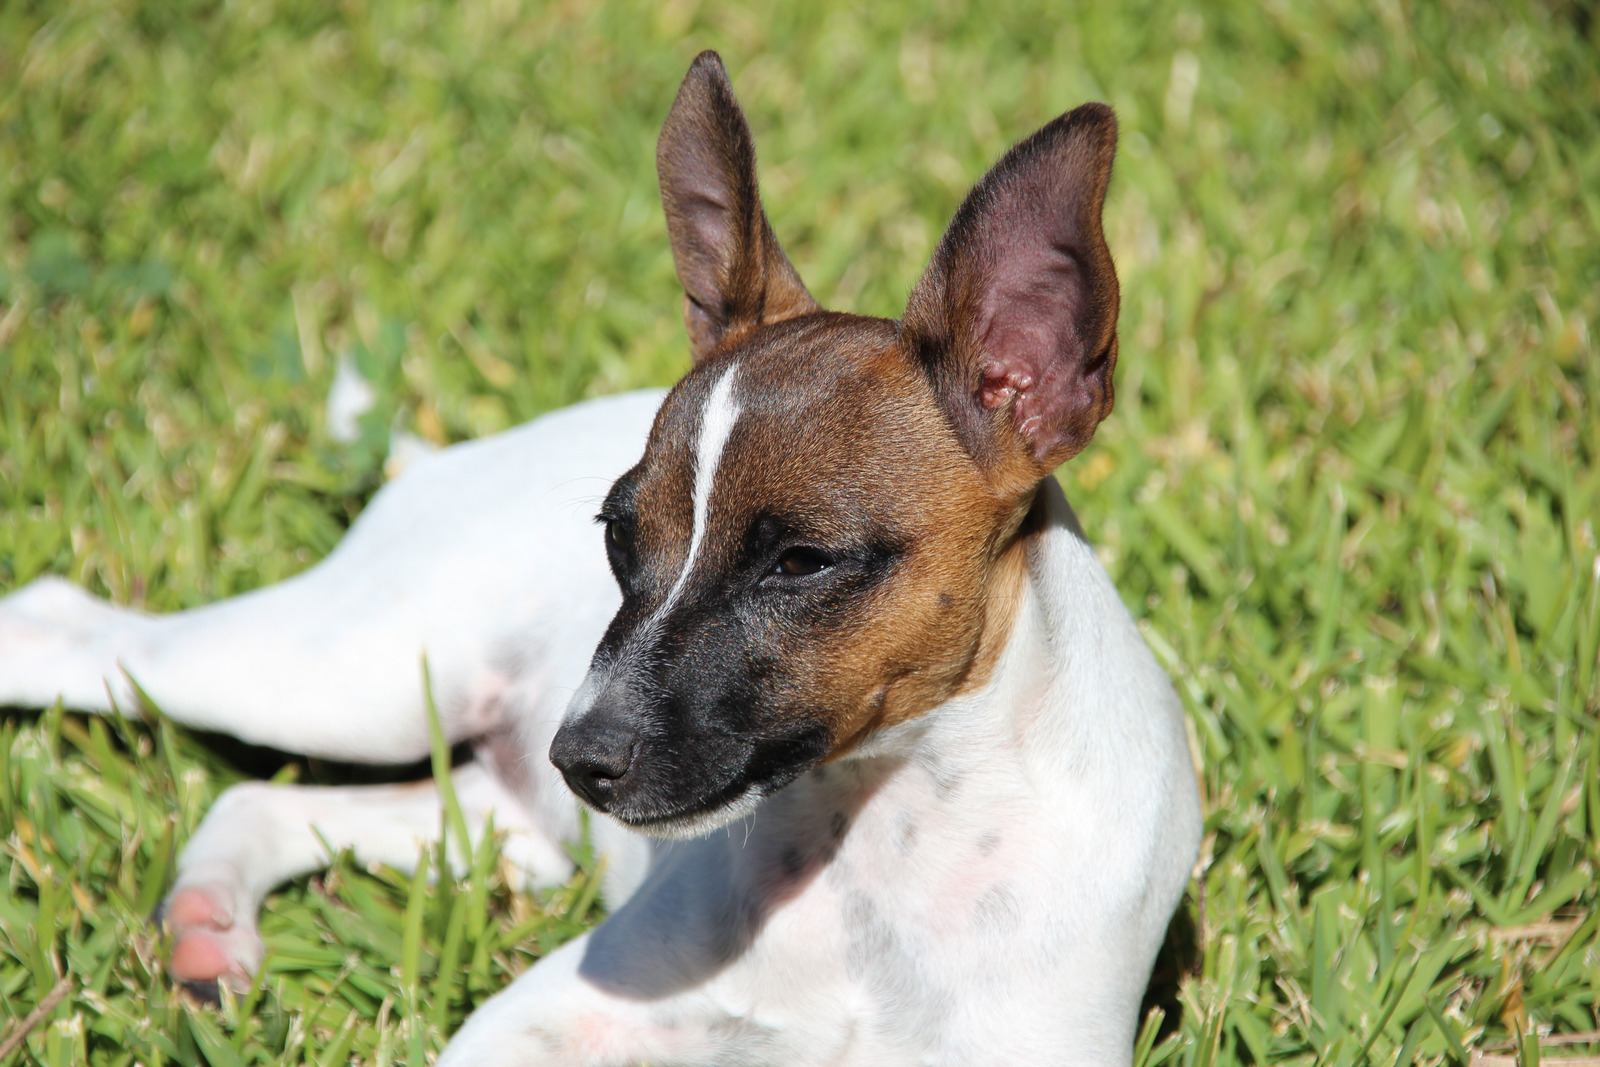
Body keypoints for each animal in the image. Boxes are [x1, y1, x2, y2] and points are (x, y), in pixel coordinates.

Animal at [0, 51, 1196, 1067]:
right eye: (621, 532)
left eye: (803, 562)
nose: (585, 756)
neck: (886, 847)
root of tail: (442, 458)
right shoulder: (543, 1021)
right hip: (339, 675)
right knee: (63, 625)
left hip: (498, 816)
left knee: (264, 801)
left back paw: (209, 921)